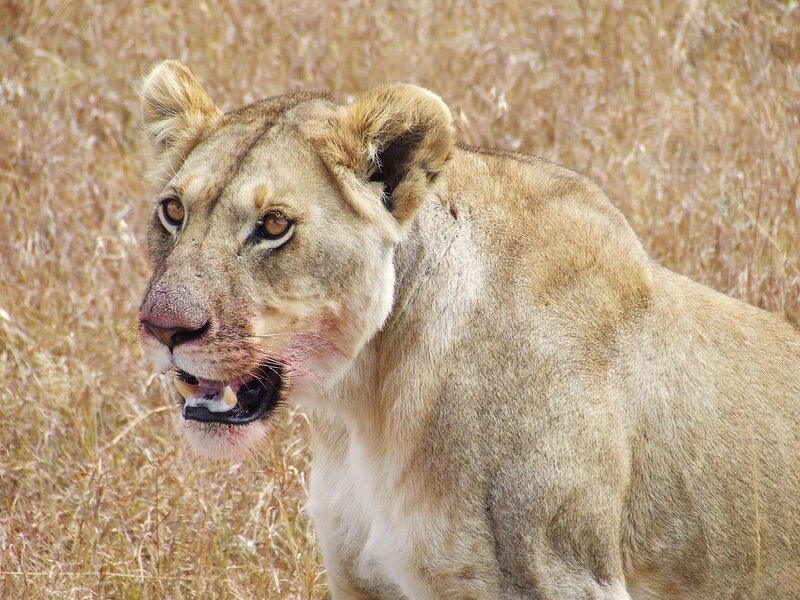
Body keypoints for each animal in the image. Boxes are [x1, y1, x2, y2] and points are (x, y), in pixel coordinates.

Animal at [136, 60, 800, 599]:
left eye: (274, 225)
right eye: (173, 211)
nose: (162, 329)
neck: (368, 401)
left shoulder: (560, 576)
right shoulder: (362, 578)